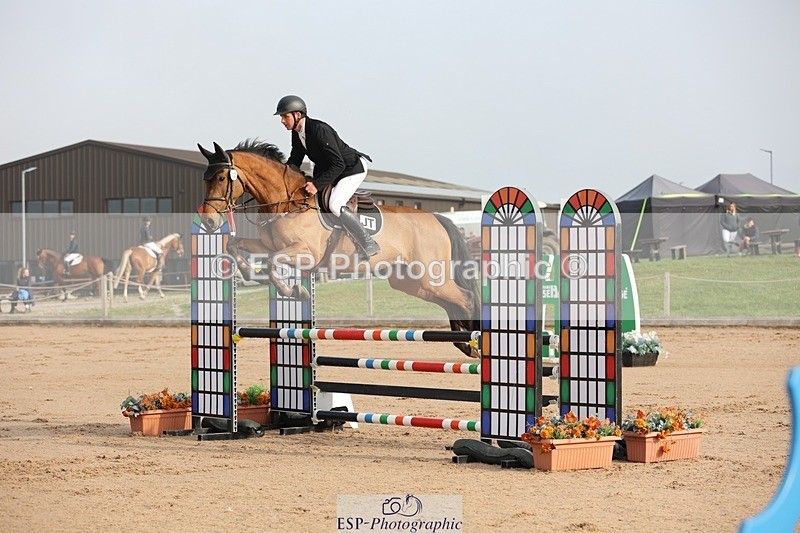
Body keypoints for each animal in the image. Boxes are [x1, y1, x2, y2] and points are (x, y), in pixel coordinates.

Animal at [197, 140, 480, 357]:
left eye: (221, 178)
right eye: (205, 180)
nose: (208, 221)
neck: (287, 202)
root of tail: (437, 219)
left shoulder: (305, 252)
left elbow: (271, 262)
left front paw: (295, 290)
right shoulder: (268, 245)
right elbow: (235, 245)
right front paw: (248, 272)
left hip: (429, 275)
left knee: (464, 297)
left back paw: (472, 341)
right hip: (411, 281)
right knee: (450, 301)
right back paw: (464, 344)